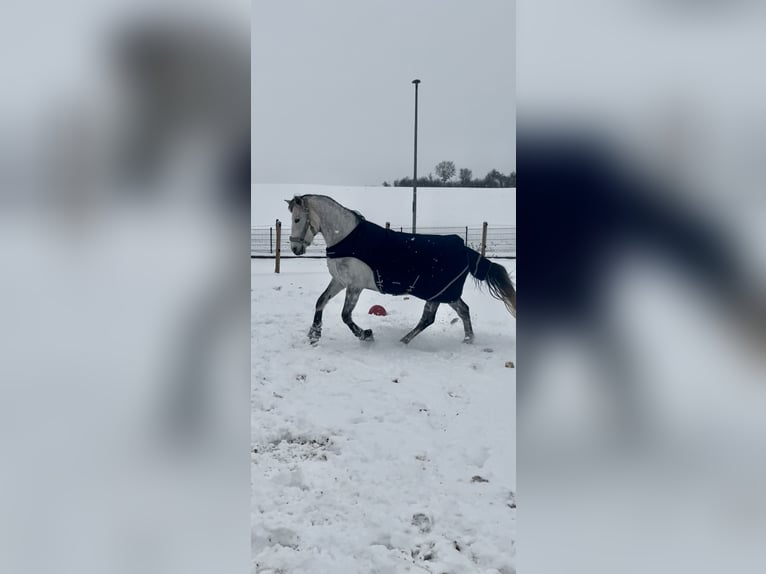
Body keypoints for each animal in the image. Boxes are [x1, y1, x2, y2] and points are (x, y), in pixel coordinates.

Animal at [286, 194, 516, 344]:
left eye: (297, 219)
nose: (295, 249)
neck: (347, 238)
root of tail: (464, 248)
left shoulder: (354, 286)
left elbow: (345, 315)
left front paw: (366, 335)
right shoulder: (340, 281)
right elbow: (321, 301)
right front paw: (314, 334)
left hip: (439, 293)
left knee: (429, 318)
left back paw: (404, 341)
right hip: (444, 294)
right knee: (461, 311)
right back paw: (467, 339)